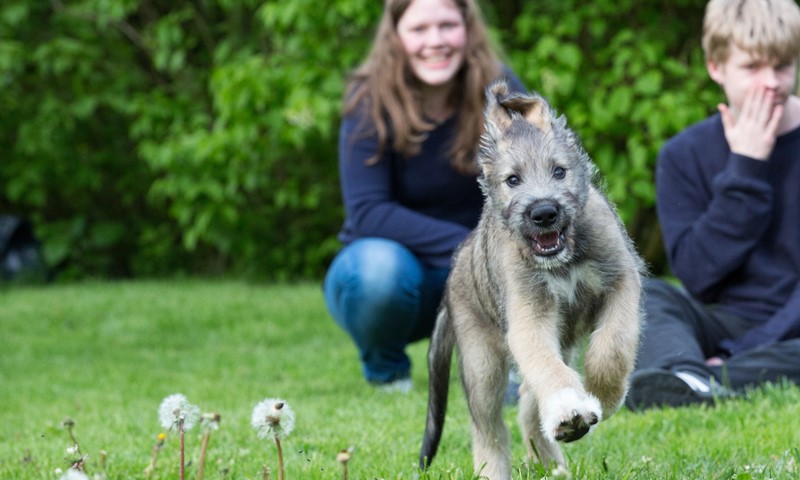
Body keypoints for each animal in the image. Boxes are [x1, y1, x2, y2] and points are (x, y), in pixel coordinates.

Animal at [419, 81, 644, 479]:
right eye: (512, 180)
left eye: (559, 172)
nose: (544, 213)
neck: (563, 258)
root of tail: (456, 268)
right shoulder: (528, 316)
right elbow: (546, 367)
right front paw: (569, 407)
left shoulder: (621, 282)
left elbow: (612, 346)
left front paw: (604, 394)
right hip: (481, 363)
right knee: (489, 429)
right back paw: (497, 469)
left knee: (527, 400)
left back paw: (552, 461)